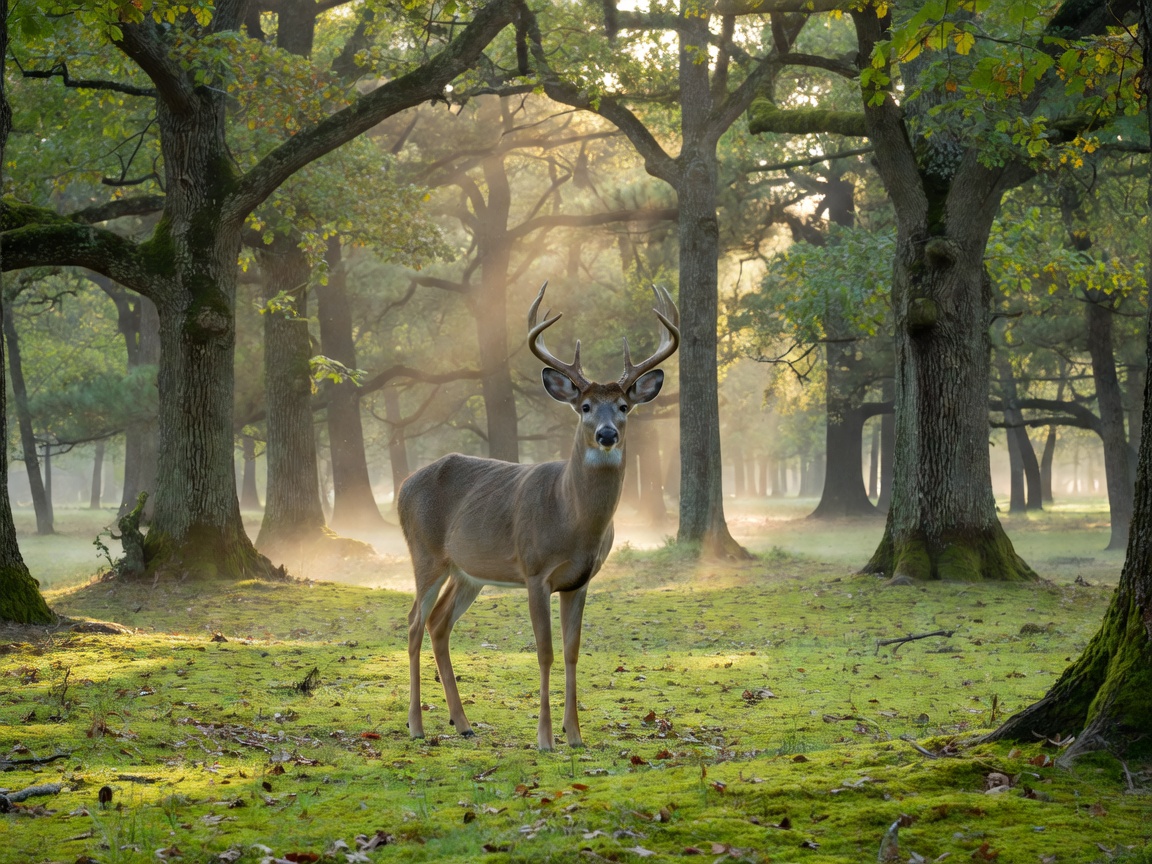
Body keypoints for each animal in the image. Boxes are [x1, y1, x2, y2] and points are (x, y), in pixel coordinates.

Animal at [398, 282, 679, 750]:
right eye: (585, 406)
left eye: (623, 406)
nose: (607, 434)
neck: (572, 517)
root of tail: (402, 486)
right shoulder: (534, 571)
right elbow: (544, 652)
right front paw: (545, 737)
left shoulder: (580, 580)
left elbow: (571, 650)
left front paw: (575, 735)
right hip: (425, 553)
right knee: (414, 622)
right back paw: (417, 726)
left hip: (467, 571)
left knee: (439, 624)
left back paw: (463, 723)